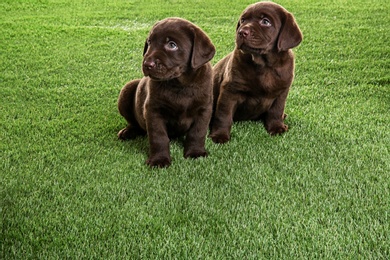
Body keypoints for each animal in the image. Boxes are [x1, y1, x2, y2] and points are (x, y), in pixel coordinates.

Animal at [119, 17, 216, 168]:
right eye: (149, 42)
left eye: (172, 45)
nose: (147, 64)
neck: (180, 85)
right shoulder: (153, 110)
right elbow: (158, 137)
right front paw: (159, 160)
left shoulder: (204, 109)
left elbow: (197, 132)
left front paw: (195, 153)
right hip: (127, 90)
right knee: (134, 123)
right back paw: (128, 132)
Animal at [210, 2, 302, 143]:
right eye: (243, 20)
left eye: (265, 21)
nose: (242, 32)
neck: (265, 65)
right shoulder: (230, 90)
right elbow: (224, 115)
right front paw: (220, 135)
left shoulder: (282, 91)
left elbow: (276, 110)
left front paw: (276, 127)